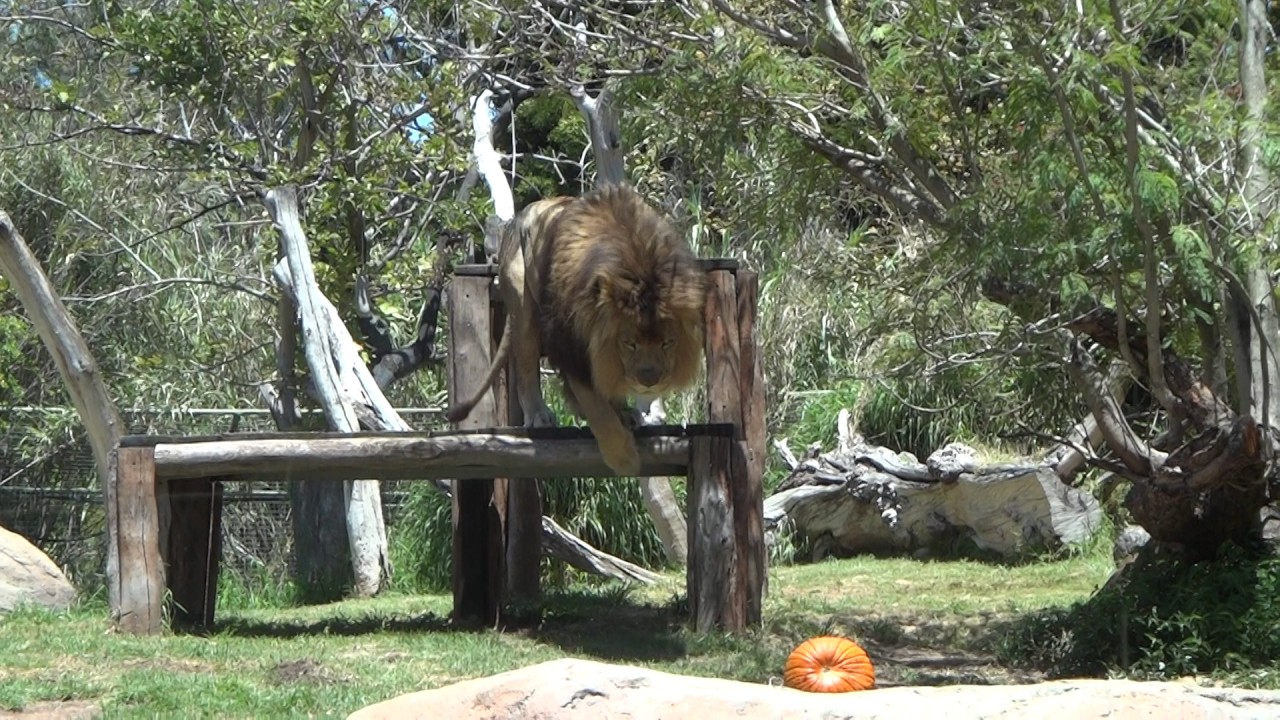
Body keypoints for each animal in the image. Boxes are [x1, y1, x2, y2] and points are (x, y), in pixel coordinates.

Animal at [446, 183, 707, 475]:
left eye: (667, 343)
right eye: (629, 343)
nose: (649, 381)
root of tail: (519, 217)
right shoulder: (567, 344)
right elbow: (595, 406)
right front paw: (624, 459)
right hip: (522, 302)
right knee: (525, 363)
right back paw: (539, 416)